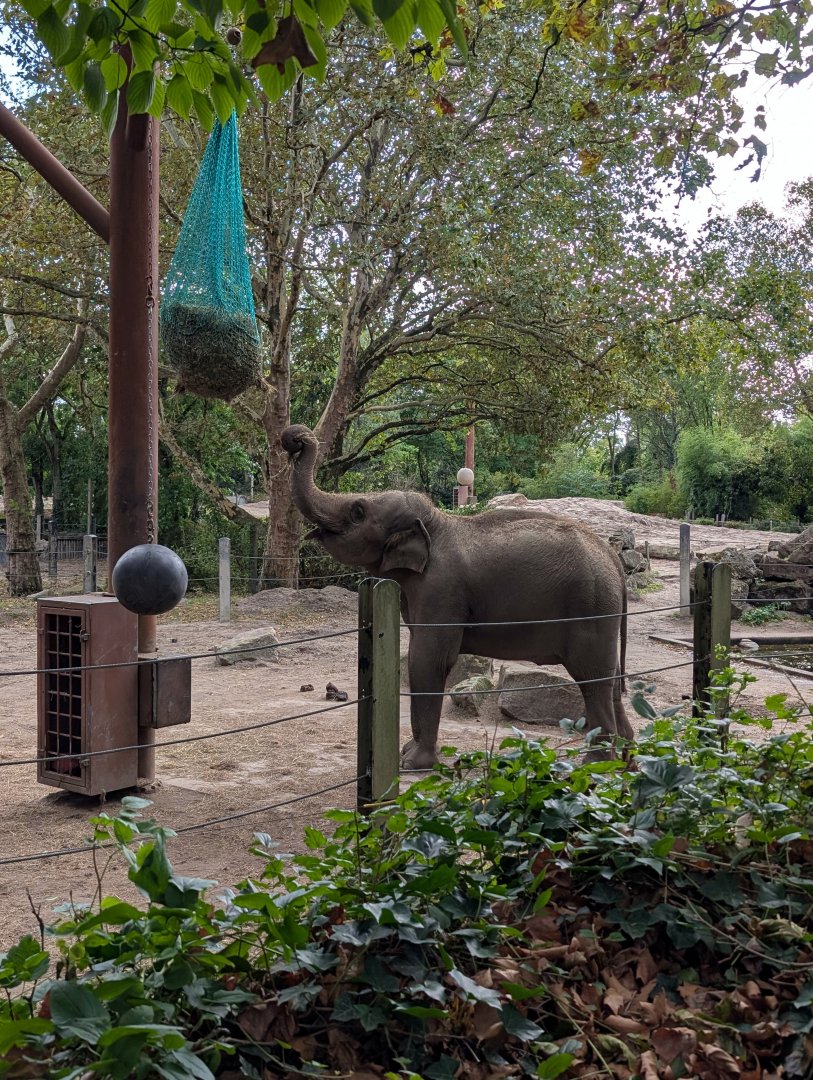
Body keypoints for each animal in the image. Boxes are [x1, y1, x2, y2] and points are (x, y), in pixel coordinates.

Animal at [281, 424, 634, 769]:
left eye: (358, 511)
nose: (293, 440)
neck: (437, 523)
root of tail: (614, 559)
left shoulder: (441, 590)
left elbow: (427, 660)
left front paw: (413, 763)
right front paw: (408, 752)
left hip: (592, 611)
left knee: (593, 679)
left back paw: (595, 765)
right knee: (612, 682)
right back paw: (628, 762)